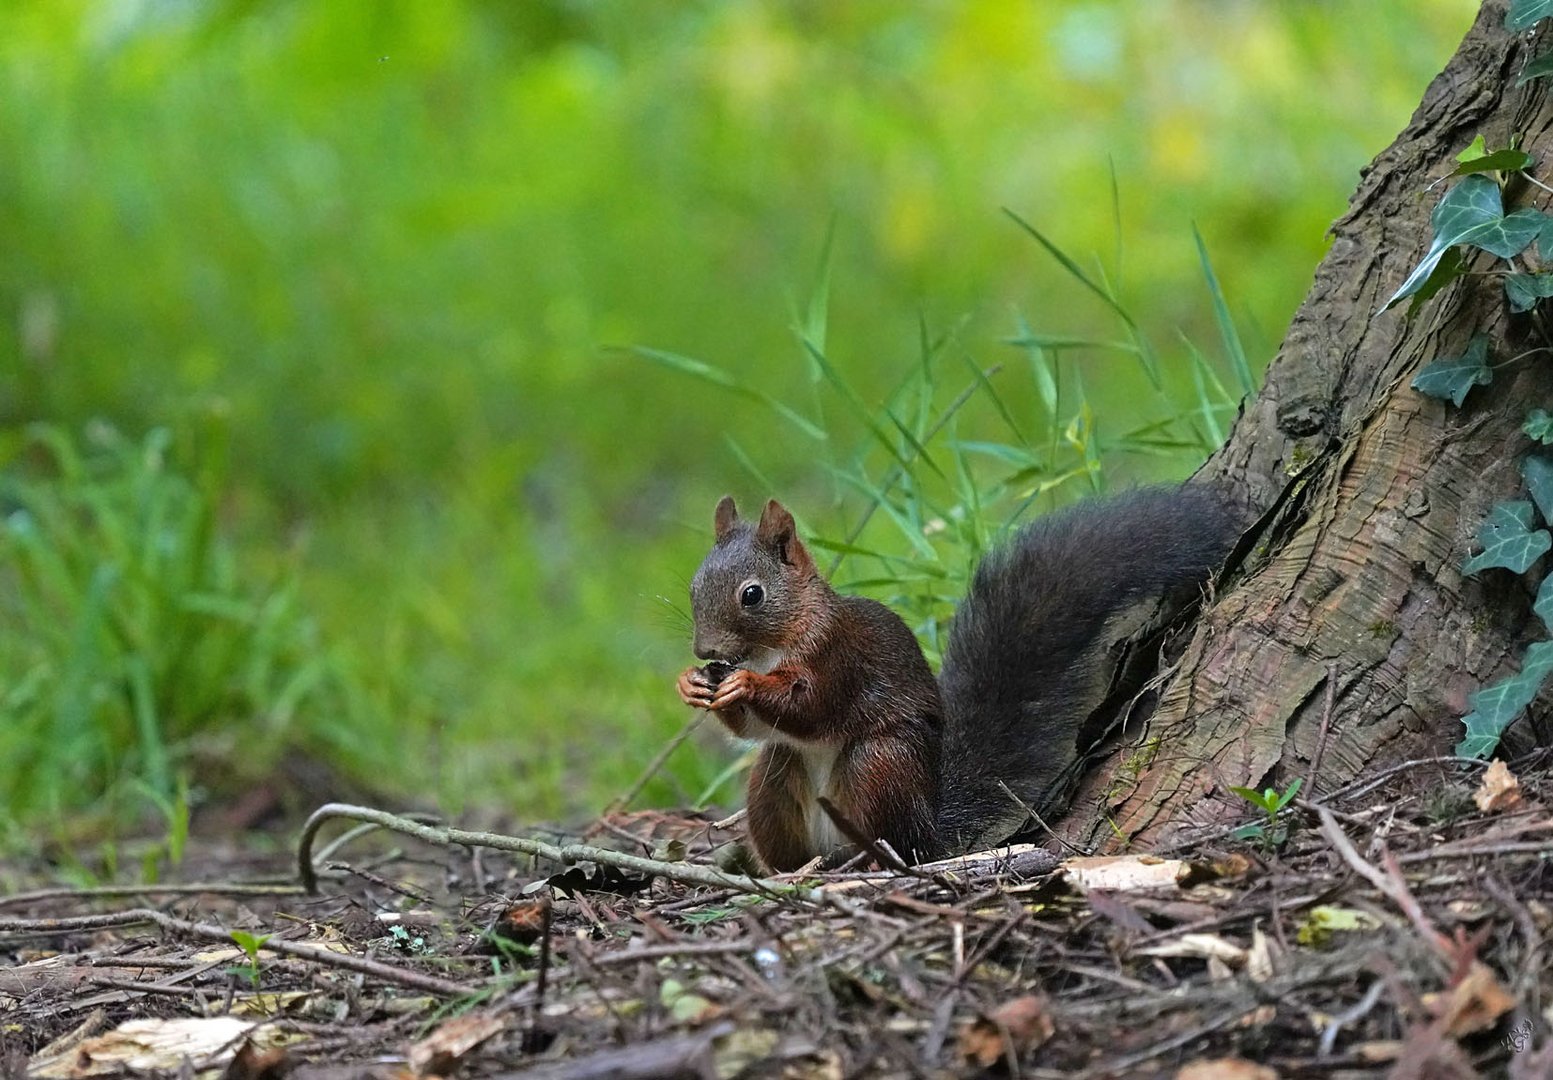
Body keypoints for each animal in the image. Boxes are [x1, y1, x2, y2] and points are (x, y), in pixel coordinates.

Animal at [680, 484, 1236, 876]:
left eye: (752, 594)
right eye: (693, 586)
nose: (705, 651)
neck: (771, 648)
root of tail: (929, 826)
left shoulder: (840, 656)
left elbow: (812, 706)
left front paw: (746, 685)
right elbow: (755, 729)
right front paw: (691, 683)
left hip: (881, 764)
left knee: (898, 842)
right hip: (775, 782)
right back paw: (793, 872)